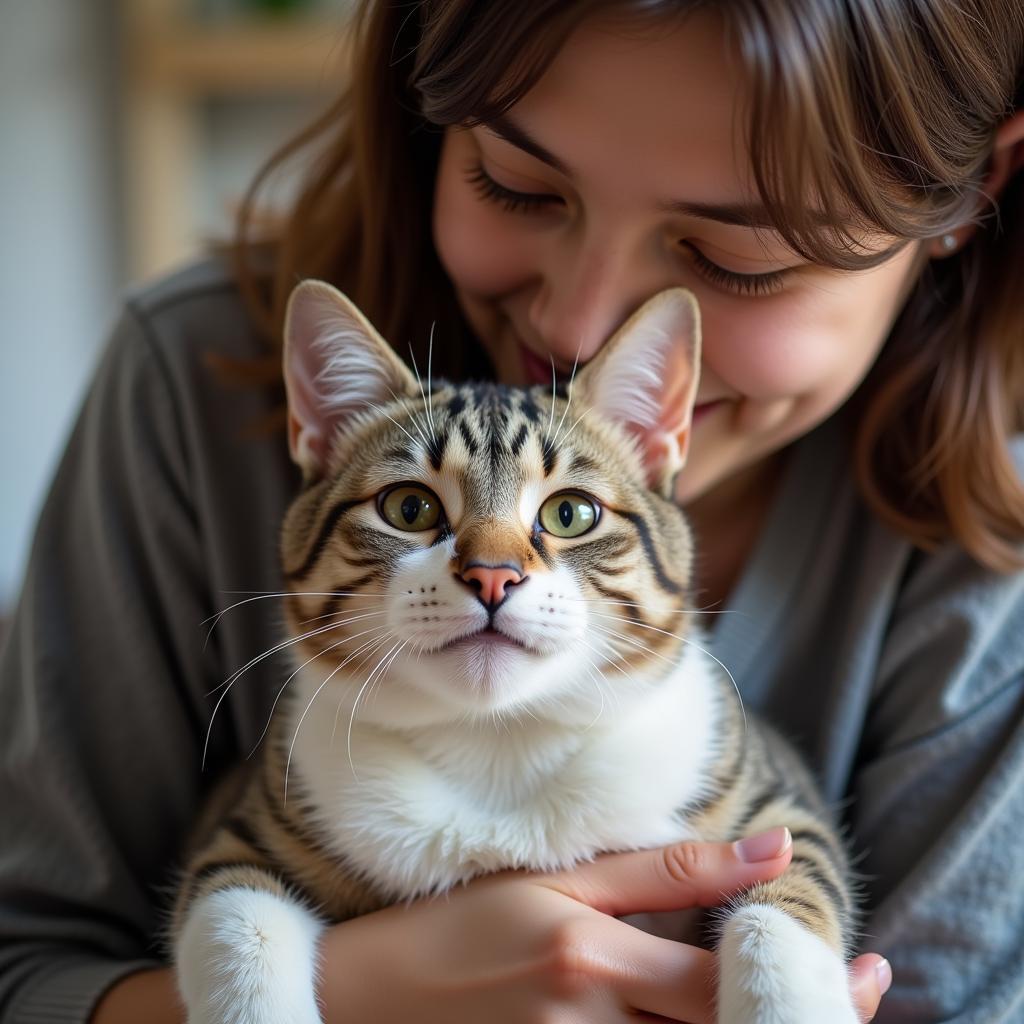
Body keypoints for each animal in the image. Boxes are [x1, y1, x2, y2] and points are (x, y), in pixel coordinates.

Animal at [172, 282, 860, 1024]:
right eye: (409, 508)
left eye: (571, 513)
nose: (492, 576)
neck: (498, 740)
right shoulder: (243, 831)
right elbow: (234, 919)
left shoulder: (776, 810)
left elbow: (784, 897)